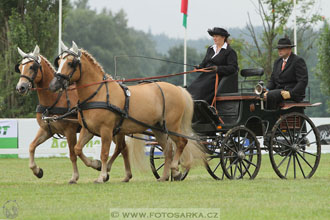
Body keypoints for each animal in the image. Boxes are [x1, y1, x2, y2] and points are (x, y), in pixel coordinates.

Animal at [15, 45, 102, 184]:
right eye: (19, 68)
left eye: (32, 66)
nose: (20, 87)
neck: (55, 99)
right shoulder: (47, 130)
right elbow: (31, 146)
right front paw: (37, 171)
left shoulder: (70, 131)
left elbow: (72, 154)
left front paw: (75, 176)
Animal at [49, 41, 204, 184]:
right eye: (59, 61)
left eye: (70, 63)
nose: (53, 85)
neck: (98, 94)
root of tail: (177, 88)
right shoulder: (88, 129)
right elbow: (77, 149)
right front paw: (96, 165)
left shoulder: (106, 130)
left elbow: (104, 153)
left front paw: (102, 176)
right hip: (158, 128)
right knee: (168, 150)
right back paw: (165, 176)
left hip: (172, 126)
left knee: (182, 142)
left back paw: (175, 170)